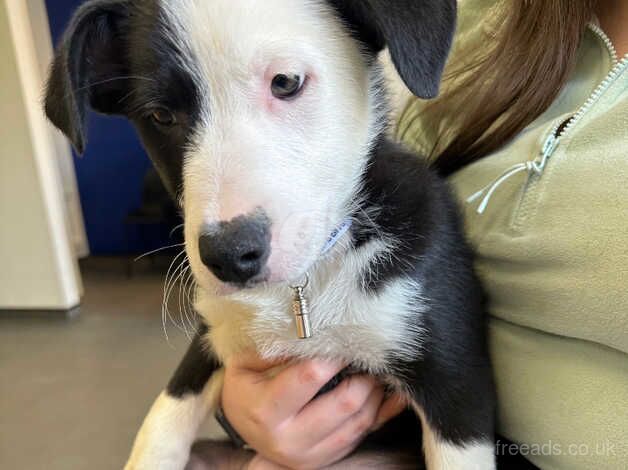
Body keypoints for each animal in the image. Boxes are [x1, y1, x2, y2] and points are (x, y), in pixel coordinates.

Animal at [43, 1, 496, 468]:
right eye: (160, 116)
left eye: (286, 82)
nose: (230, 255)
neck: (305, 283)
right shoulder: (213, 334)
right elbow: (164, 416)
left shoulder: (457, 390)